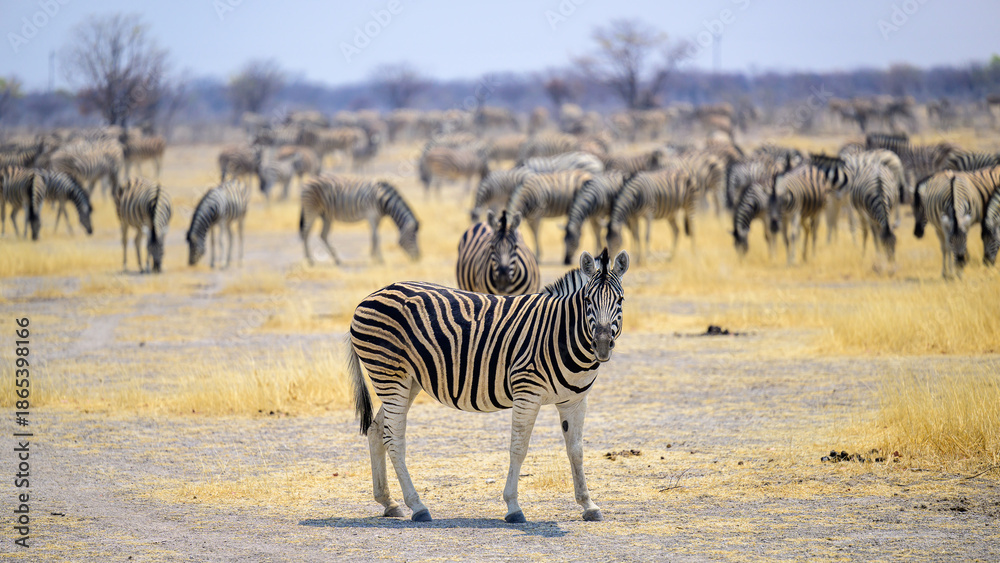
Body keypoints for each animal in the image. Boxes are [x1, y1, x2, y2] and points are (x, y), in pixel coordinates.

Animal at [348, 248, 629, 523]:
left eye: (621, 300)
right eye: (587, 301)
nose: (602, 345)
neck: (560, 332)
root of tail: (372, 295)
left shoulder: (575, 400)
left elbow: (576, 451)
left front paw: (588, 505)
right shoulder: (527, 392)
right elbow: (518, 448)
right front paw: (513, 507)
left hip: (408, 382)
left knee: (376, 430)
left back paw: (388, 502)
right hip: (390, 376)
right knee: (393, 439)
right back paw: (417, 507)